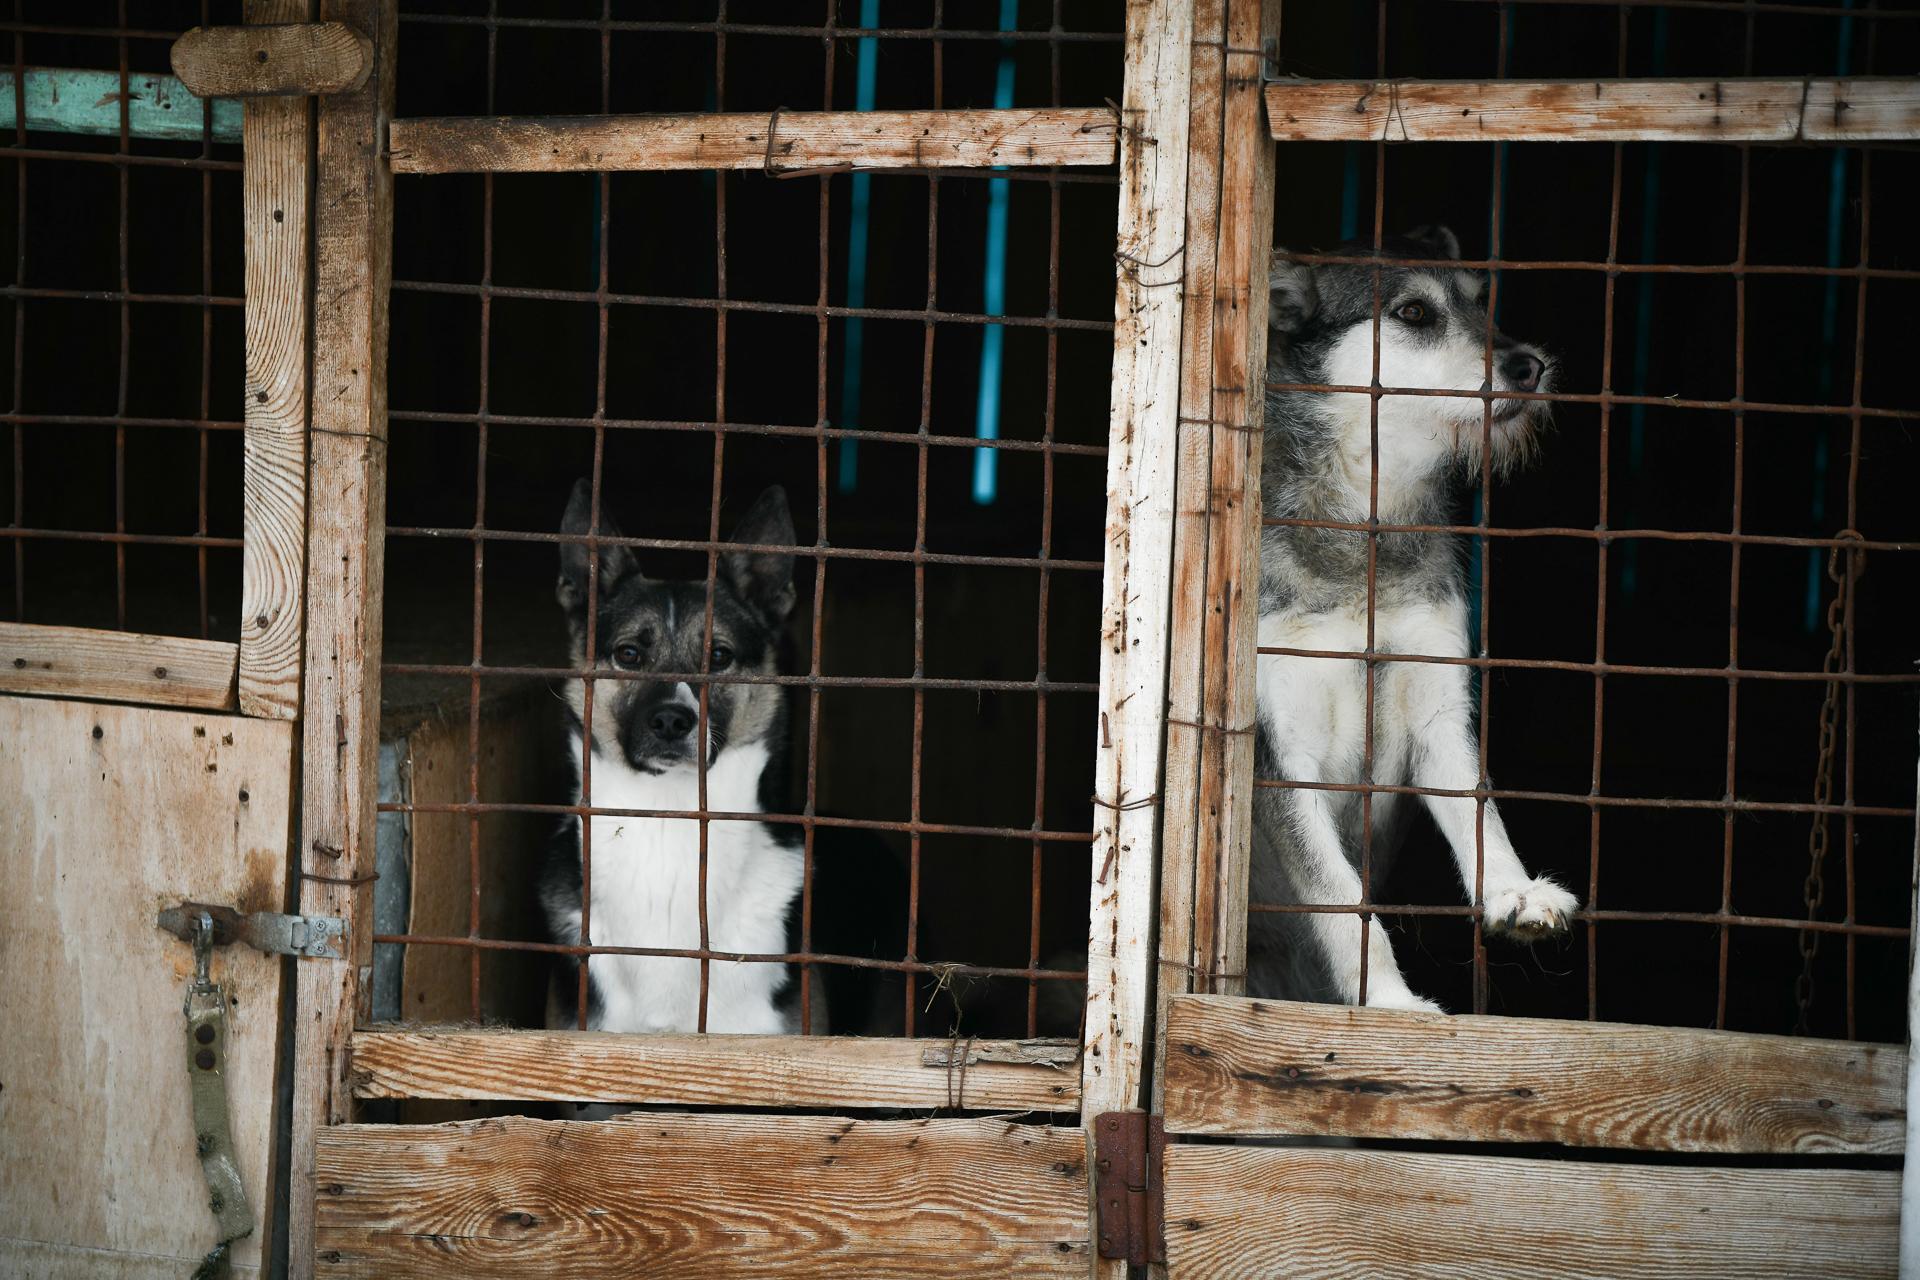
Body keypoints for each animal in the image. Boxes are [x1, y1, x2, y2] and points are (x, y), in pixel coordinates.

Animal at [1251, 227, 1582, 1013]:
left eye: (1481, 301)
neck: (1366, 515)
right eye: (1413, 313)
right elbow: (1339, 893)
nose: (1532, 366)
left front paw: (1517, 892)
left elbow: (1479, 809)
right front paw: (1389, 1003)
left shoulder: (1437, 710)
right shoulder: (1280, 754)